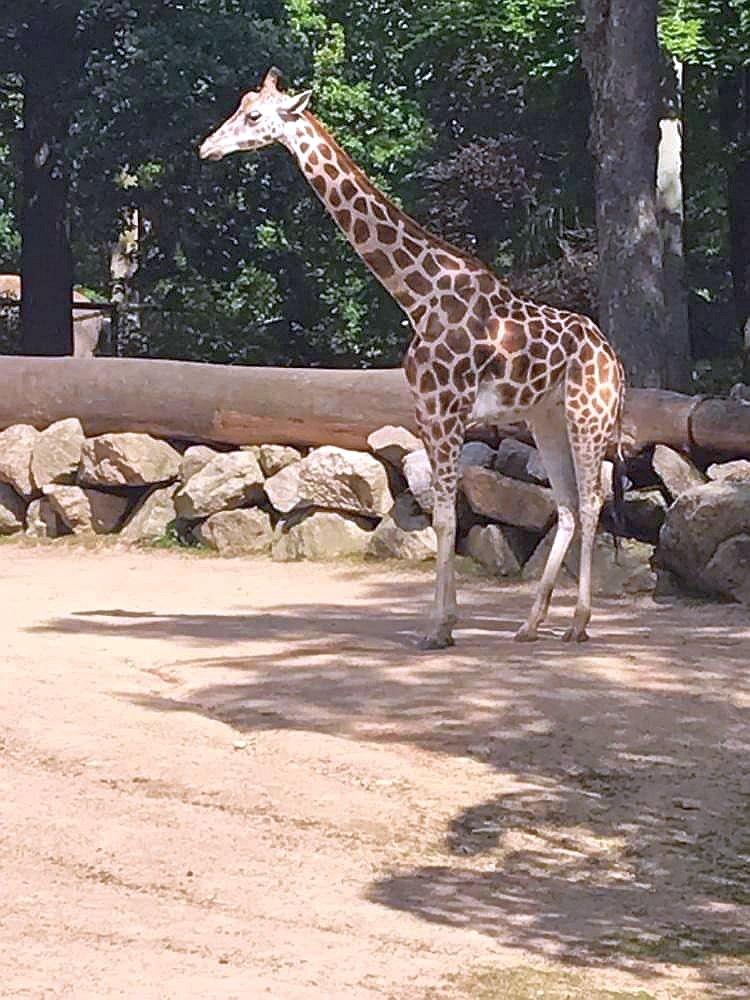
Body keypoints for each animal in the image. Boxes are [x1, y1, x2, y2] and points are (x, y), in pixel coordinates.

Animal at [199, 68, 625, 649]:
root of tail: (614, 359)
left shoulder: (445, 410)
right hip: (546, 416)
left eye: (255, 116)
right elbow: (442, 515)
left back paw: (579, 624)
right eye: (241, 106)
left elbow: (445, 518)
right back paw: (530, 623)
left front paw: (437, 628)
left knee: (590, 500)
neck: (417, 296)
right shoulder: (426, 410)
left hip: (588, 414)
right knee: (563, 505)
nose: (207, 147)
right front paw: (445, 621)